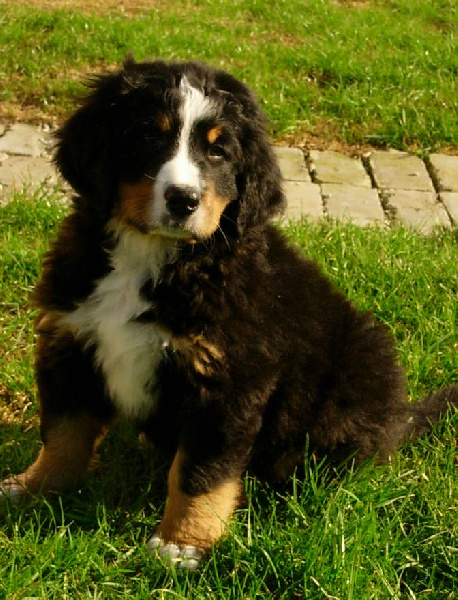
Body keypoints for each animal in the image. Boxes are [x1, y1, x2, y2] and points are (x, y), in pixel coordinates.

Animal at [1, 58, 456, 569]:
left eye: (219, 153)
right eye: (147, 135)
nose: (183, 200)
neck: (151, 257)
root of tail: (397, 416)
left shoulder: (227, 379)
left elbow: (200, 472)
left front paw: (183, 542)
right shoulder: (72, 340)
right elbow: (62, 433)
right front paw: (33, 489)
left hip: (356, 370)